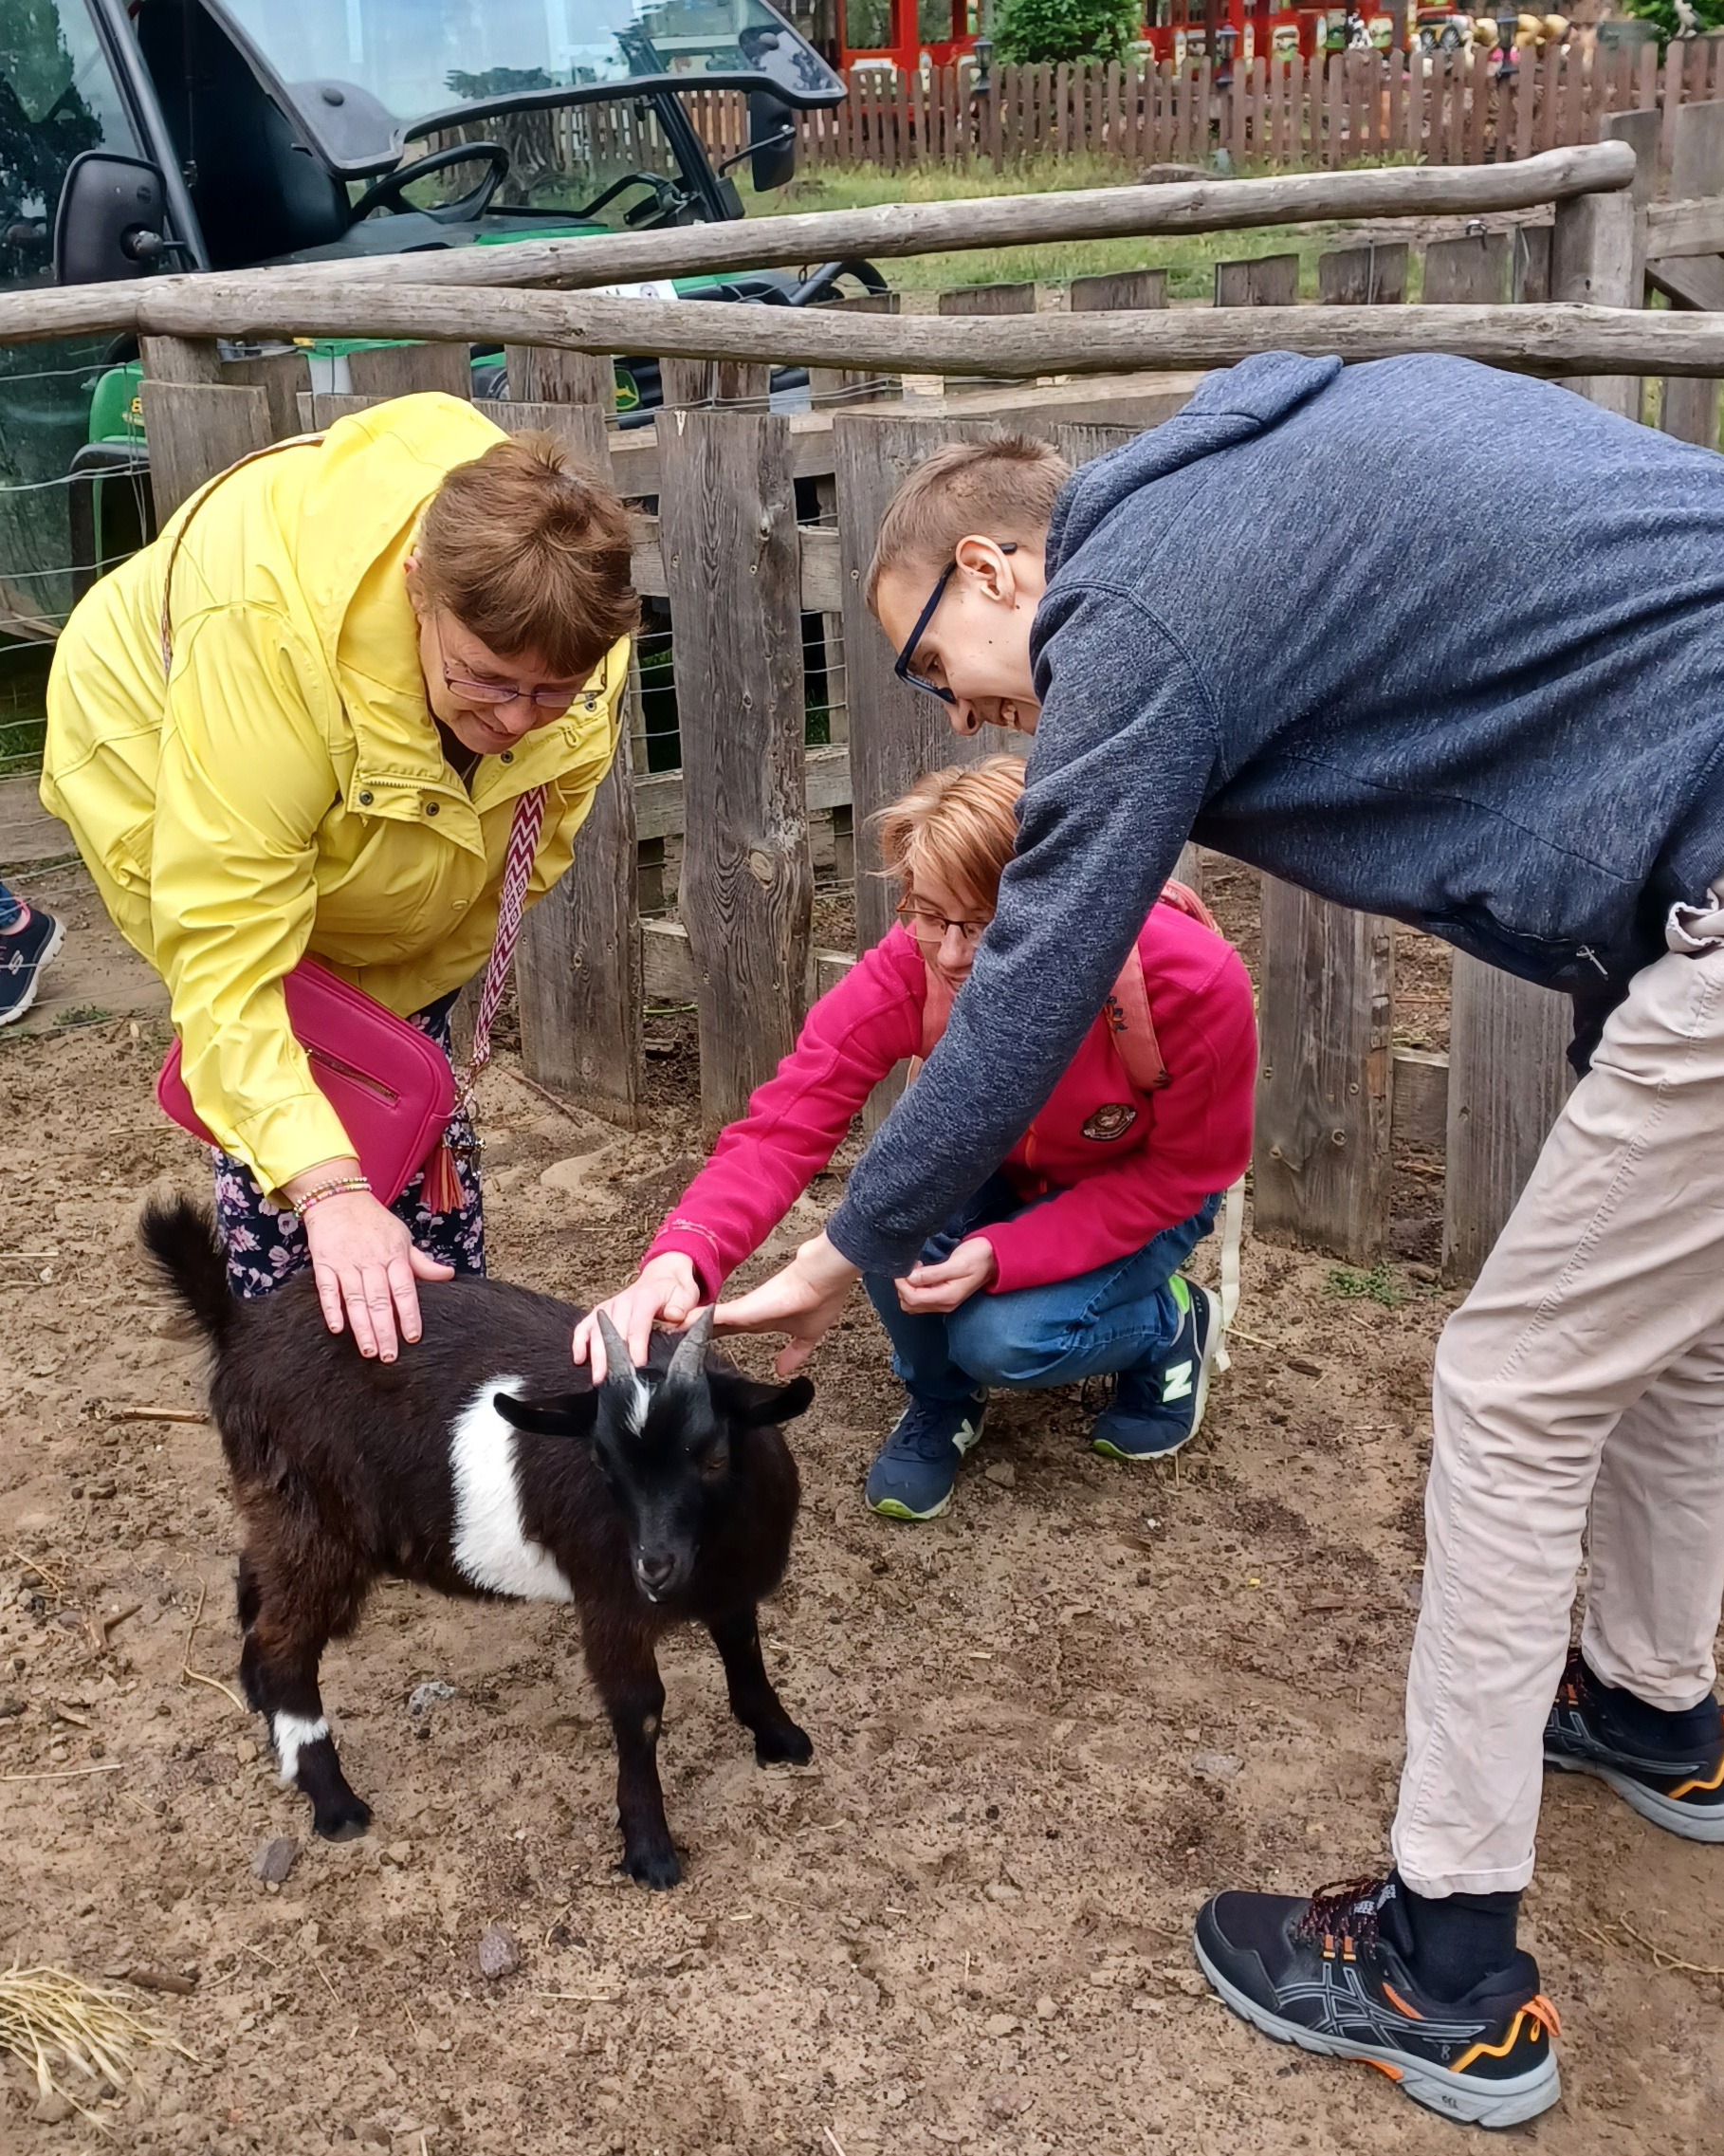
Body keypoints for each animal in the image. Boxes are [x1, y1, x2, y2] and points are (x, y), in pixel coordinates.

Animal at [139, 1196, 814, 1888]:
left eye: (712, 1457)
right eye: (602, 1461)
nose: (654, 1566)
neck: (708, 1555)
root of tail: (239, 1325)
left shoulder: (732, 1586)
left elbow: (744, 1650)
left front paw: (782, 1738)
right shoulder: (610, 1603)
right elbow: (640, 1708)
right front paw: (650, 1849)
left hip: (278, 1508)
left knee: (254, 1577)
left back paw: (256, 1696)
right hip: (316, 1522)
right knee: (285, 1642)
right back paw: (334, 1800)